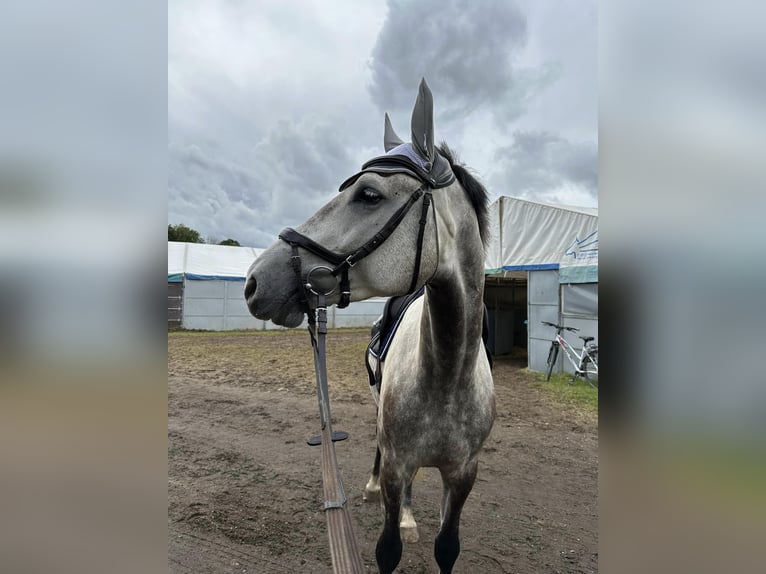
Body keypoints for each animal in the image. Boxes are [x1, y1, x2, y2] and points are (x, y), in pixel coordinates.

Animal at [246, 80, 498, 574]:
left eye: (368, 194)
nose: (255, 281)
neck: (447, 375)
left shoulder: (464, 475)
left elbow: (447, 546)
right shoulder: (398, 464)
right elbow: (387, 549)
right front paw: (392, 514)